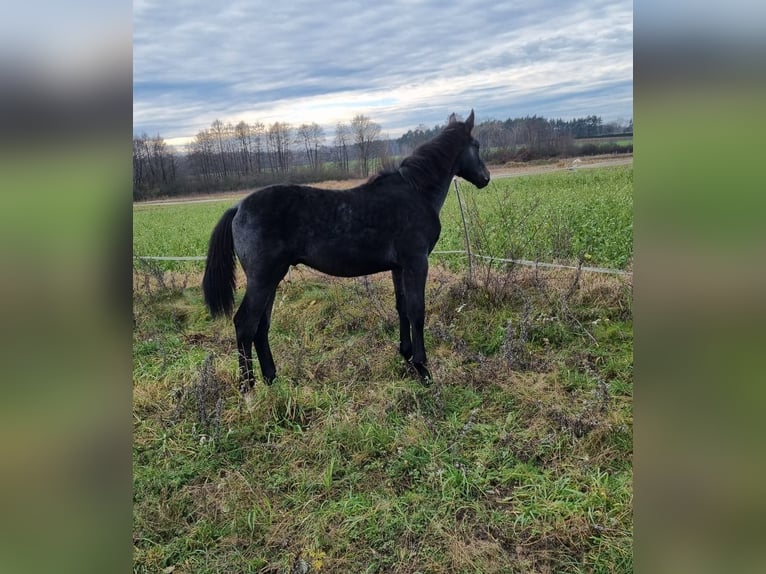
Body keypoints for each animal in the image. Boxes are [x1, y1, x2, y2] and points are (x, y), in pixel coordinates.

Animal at [204, 109, 492, 392]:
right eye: (476, 145)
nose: (486, 178)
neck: (416, 191)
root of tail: (238, 207)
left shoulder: (399, 267)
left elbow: (402, 308)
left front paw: (407, 357)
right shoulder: (416, 262)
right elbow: (417, 310)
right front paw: (423, 369)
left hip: (271, 279)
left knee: (261, 327)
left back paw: (272, 380)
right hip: (262, 279)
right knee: (245, 324)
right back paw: (248, 388)